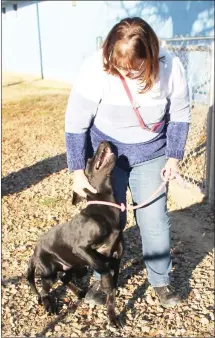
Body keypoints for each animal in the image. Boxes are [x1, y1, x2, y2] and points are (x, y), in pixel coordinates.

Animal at [26, 142, 124, 328]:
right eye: (89, 159)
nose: (104, 141)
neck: (104, 209)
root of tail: (34, 251)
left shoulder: (116, 257)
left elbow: (112, 291)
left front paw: (112, 316)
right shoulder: (82, 249)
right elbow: (104, 270)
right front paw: (106, 288)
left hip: (75, 266)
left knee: (64, 278)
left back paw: (79, 292)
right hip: (50, 272)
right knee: (44, 290)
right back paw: (49, 305)